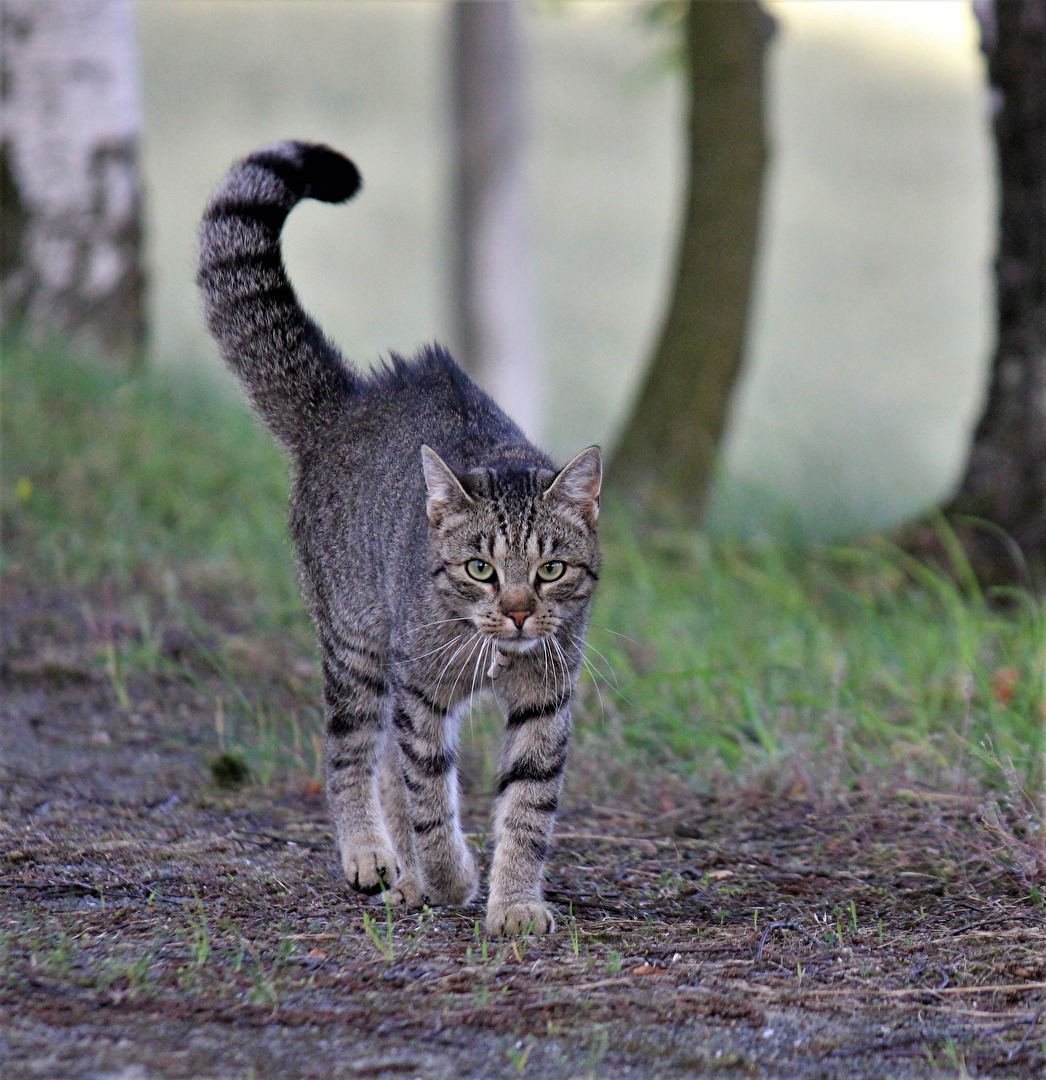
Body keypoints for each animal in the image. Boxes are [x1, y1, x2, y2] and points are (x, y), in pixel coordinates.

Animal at [196, 141, 600, 937]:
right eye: (480, 568)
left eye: (550, 571)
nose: (516, 613)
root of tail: (346, 400)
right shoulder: (420, 690)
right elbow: (428, 797)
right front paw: (449, 876)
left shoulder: (546, 698)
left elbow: (527, 806)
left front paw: (513, 903)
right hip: (356, 644)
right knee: (353, 753)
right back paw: (375, 857)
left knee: (381, 762)